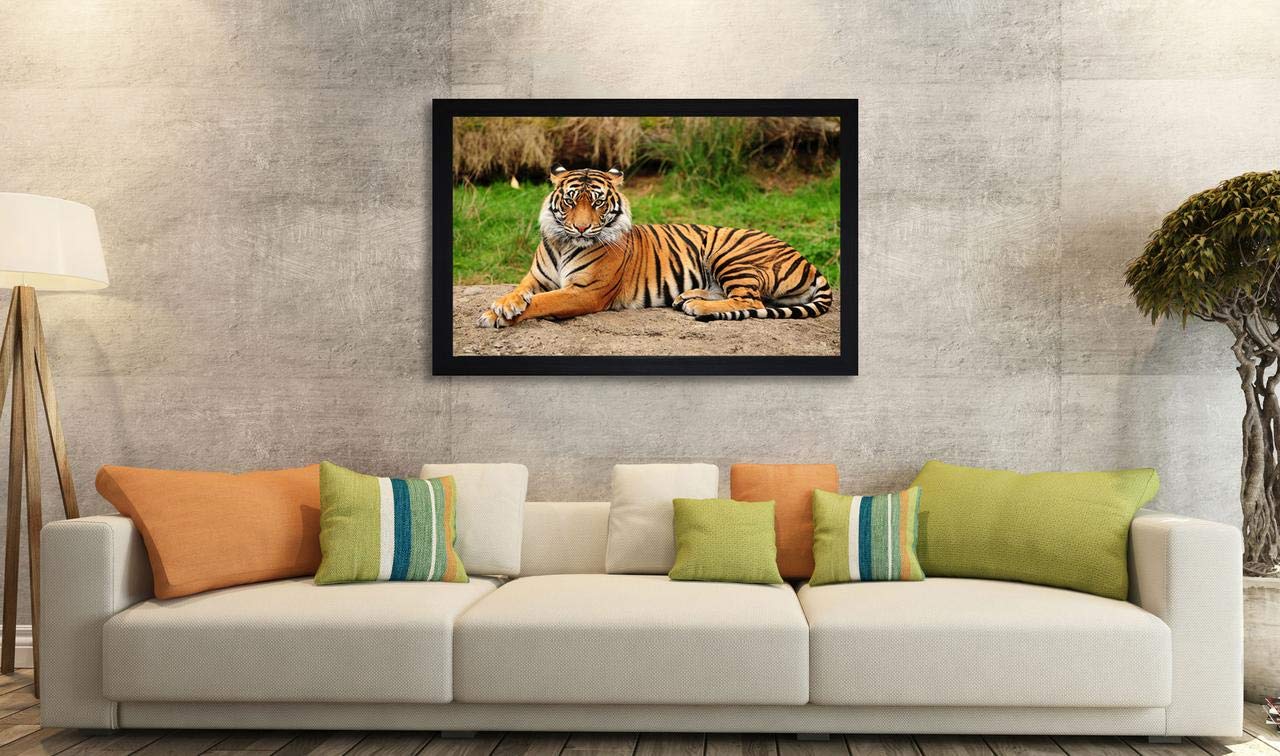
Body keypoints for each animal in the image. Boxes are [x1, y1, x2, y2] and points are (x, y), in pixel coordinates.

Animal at [477, 164, 833, 328]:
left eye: (597, 202)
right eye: (570, 201)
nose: (581, 227)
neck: (565, 243)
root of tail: (808, 260)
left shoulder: (586, 292)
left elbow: (543, 302)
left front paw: (497, 316)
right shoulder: (535, 278)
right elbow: (518, 291)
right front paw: (500, 306)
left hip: (731, 254)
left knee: (748, 299)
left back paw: (697, 306)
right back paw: (688, 296)